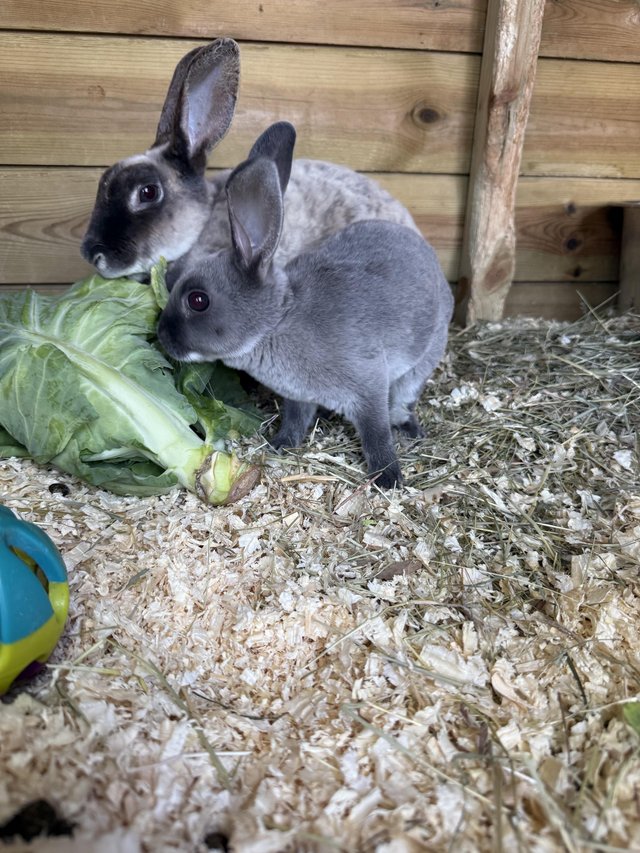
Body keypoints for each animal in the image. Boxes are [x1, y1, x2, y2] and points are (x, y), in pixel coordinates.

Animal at [156, 122, 453, 489]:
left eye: (198, 300)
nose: (161, 335)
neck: (277, 321)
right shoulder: (298, 397)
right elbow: (295, 420)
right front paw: (281, 444)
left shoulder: (369, 387)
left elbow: (376, 434)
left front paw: (388, 477)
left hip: (423, 359)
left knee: (403, 400)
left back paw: (410, 429)